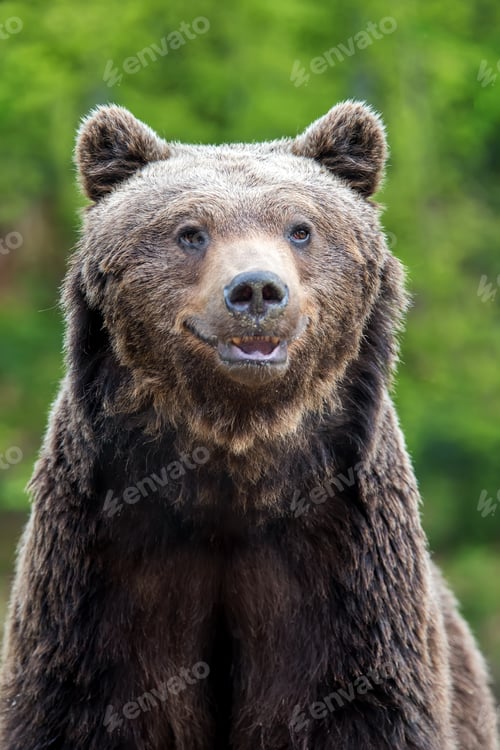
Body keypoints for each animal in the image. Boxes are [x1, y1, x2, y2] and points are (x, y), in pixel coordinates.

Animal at [0, 101, 498, 750]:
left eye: (301, 228)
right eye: (190, 231)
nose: (257, 289)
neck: (238, 461)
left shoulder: (351, 583)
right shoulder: (96, 573)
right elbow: (78, 701)